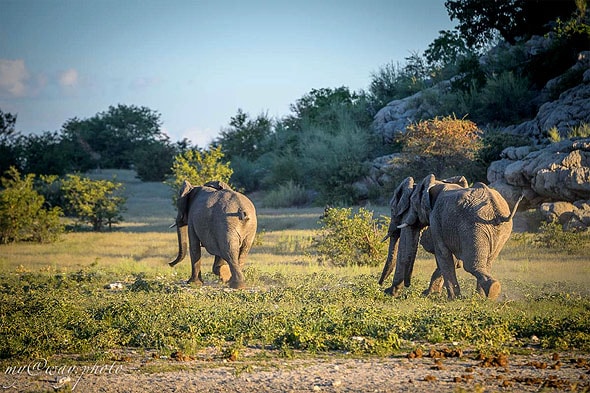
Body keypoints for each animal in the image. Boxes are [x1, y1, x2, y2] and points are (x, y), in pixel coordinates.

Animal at [380, 173, 524, 298]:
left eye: (392, 209)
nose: (382, 287)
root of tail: (497, 209)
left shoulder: (436, 219)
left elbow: (442, 253)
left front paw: (452, 298)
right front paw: (431, 294)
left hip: (474, 225)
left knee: (471, 264)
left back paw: (491, 290)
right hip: (499, 230)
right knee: (487, 262)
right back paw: (482, 296)